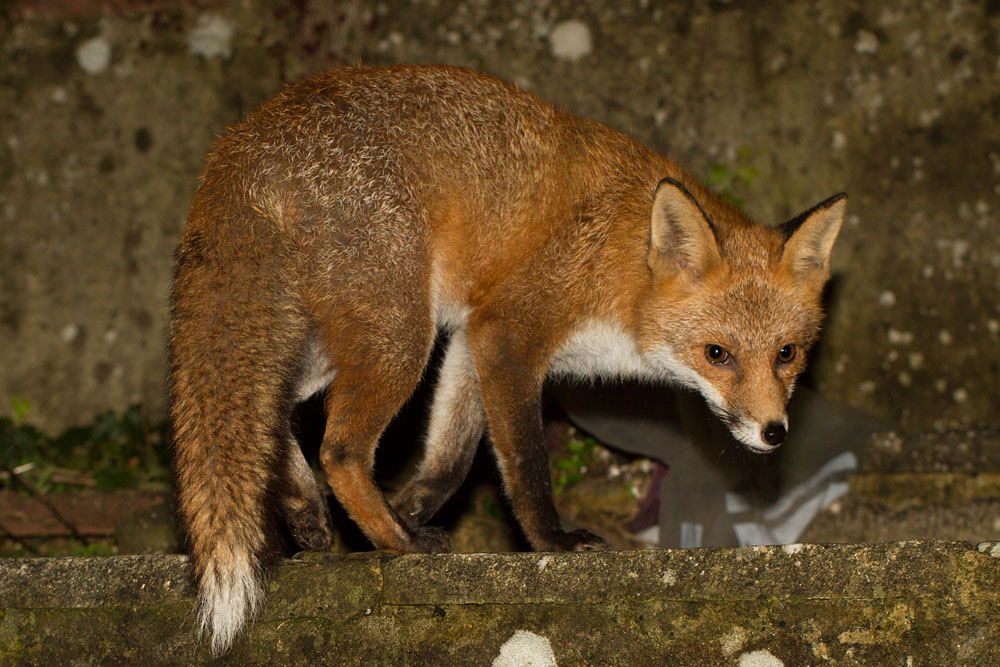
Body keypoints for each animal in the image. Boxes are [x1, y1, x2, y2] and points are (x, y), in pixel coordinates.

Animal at [168, 64, 845, 653]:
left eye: (787, 354)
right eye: (717, 354)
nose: (773, 432)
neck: (621, 266)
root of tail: (244, 137)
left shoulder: (473, 337)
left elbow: (452, 455)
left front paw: (412, 509)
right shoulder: (509, 332)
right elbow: (524, 462)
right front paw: (550, 542)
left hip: (334, 336)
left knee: (273, 407)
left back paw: (315, 514)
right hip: (399, 333)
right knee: (338, 449)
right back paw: (394, 545)